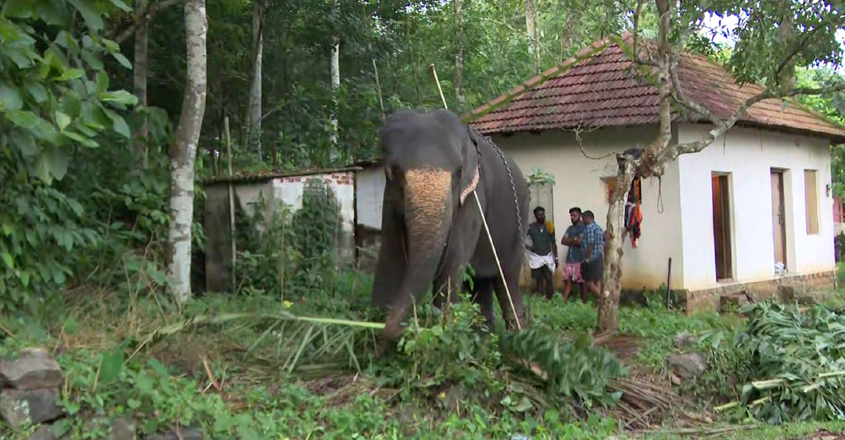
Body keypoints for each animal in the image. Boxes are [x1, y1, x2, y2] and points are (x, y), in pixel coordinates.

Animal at [370, 108, 531, 342]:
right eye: (396, 170)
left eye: (459, 171)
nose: (396, 329)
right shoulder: (389, 199)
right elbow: (391, 257)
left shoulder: (473, 197)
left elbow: (452, 260)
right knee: (480, 281)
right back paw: (484, 337)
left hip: (519, 220)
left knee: (506, 280)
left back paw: (518, 335)